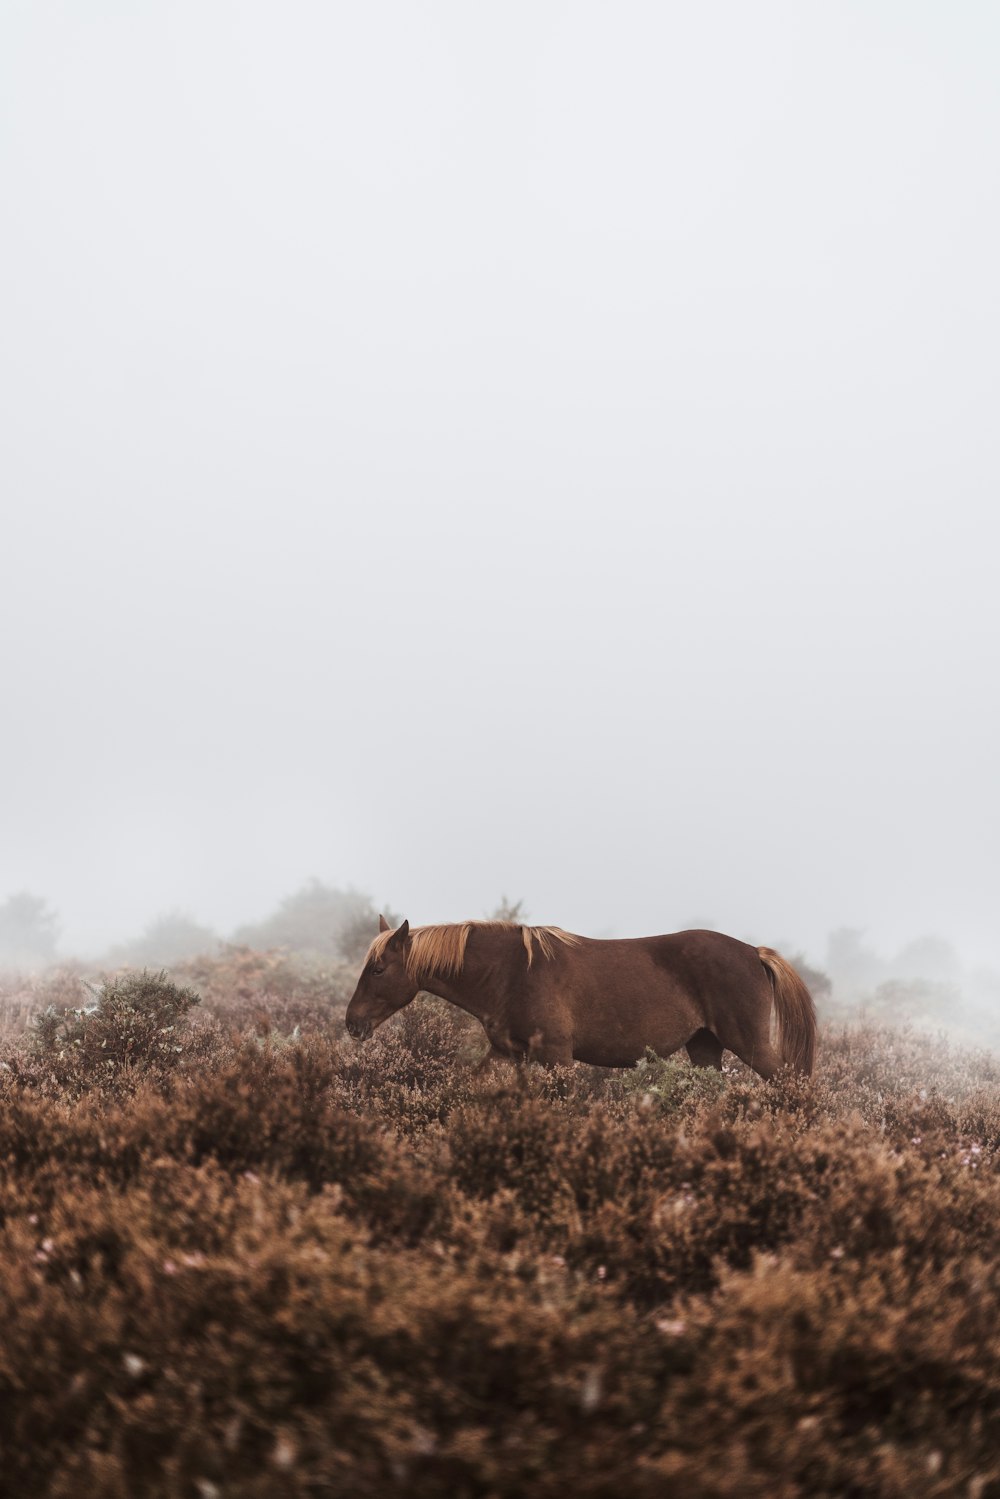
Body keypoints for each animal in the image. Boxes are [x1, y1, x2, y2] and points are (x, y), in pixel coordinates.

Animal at [347, 911, 815, 1079]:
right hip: (704, 1048)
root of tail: (753, 952)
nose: (352, 1023)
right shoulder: (507, 1053)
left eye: (379, 968)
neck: (512, 972)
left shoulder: (557, 1055)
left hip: (749, 1044)